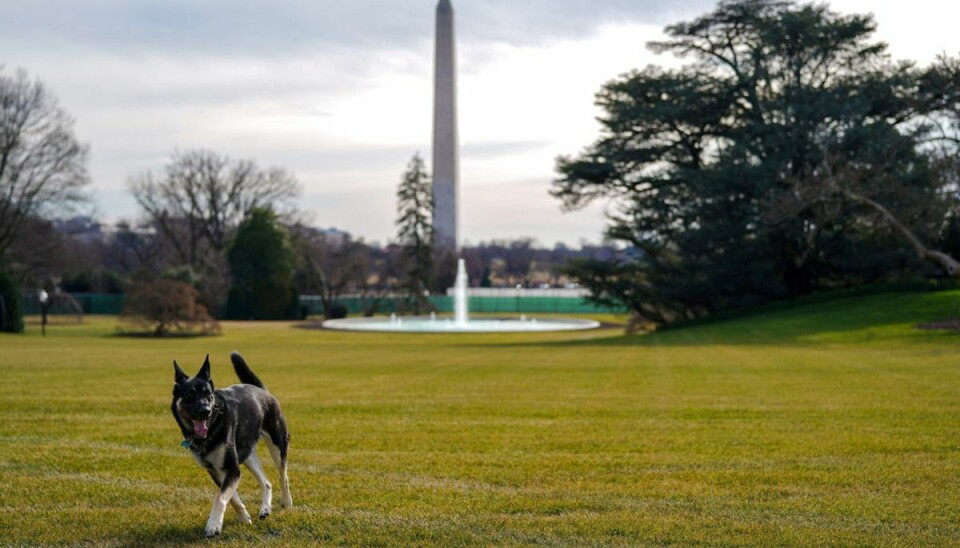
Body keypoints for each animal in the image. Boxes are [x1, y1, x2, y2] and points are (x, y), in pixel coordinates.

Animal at [172, 352, 292, 536]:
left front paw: (213, 525)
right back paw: (265, 509)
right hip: (248, 455)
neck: (212, 427)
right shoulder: (216, 471)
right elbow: (231, 497)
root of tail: (262, 390)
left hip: (277, 445)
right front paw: (244, 518)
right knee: (266, 482)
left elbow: (220, 497)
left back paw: (286, 502)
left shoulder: (232, 469)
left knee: (282, 475)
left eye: (208, 394)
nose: (205, 411)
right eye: (190, 395)